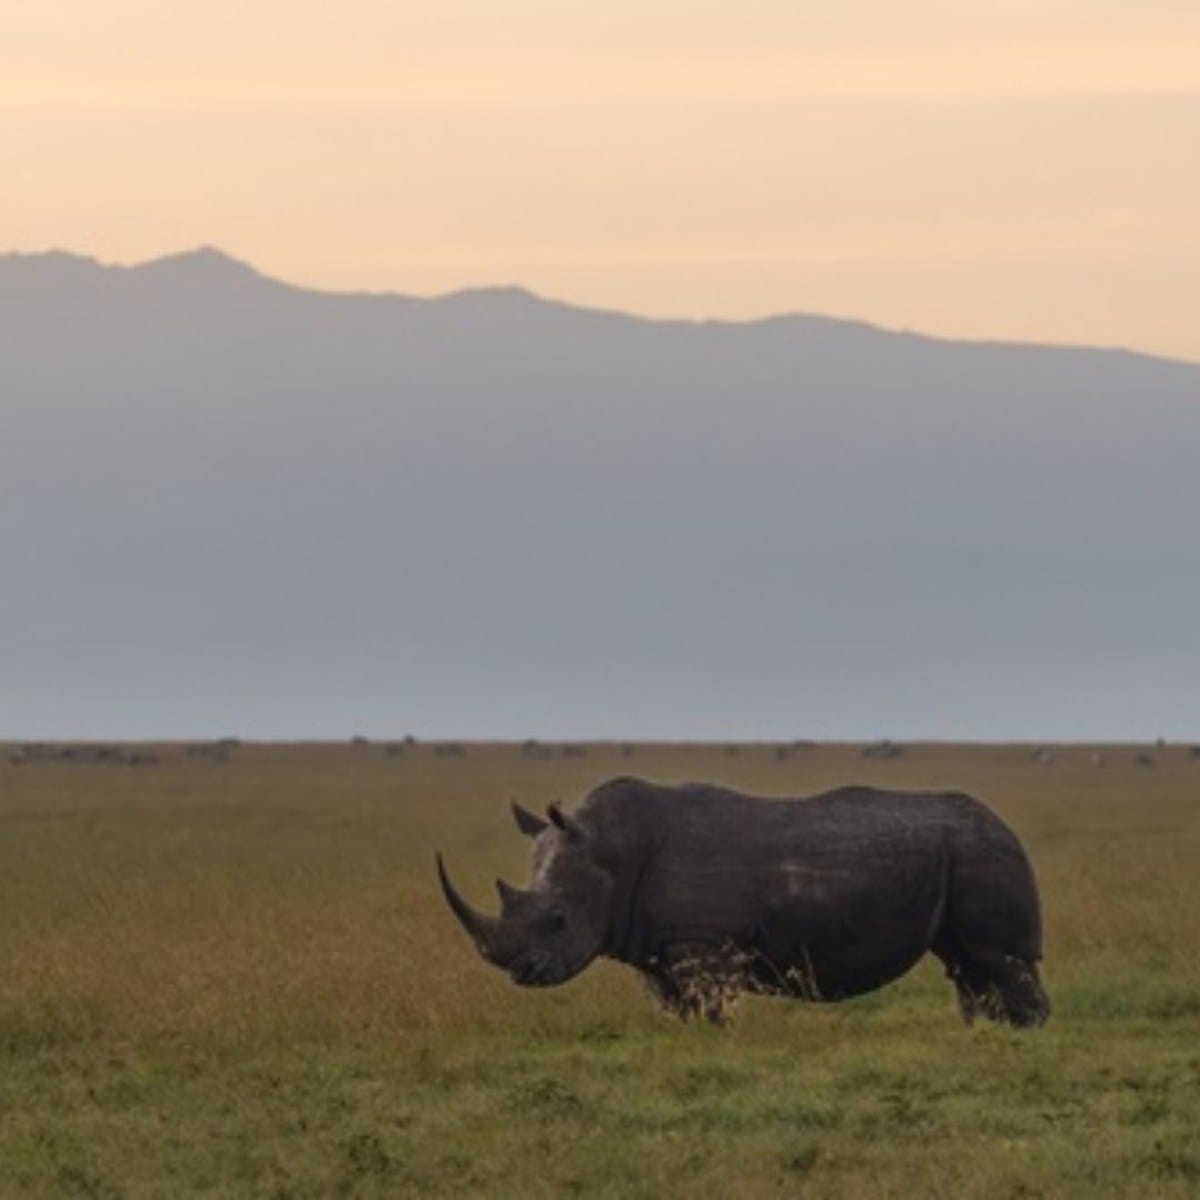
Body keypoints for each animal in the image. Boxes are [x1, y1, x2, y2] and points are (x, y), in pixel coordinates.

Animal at [437, 776, 1049, 1027]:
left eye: (559, 920)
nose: (521, 972)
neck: (611, 849)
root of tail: (1005, 824)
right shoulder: (660, 943)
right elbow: (675, 1005)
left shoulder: (703, 940)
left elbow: (710, 1003)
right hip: (965, 854)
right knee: (965, 963)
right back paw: (981, 1033)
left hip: (984, 853)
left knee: (997, 959)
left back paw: (1024, 1035)